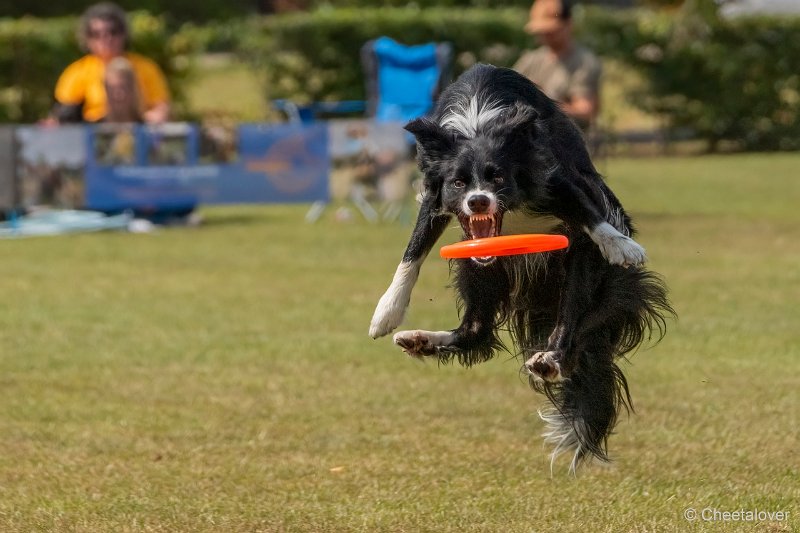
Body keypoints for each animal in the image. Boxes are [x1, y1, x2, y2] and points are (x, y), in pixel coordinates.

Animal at [372, 64, 672, 472]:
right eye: (458, 182)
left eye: (498, 176)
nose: (478, 202)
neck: (477, 125)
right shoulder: (435, 197)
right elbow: (413, 251)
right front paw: (387, 310)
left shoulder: (553, 175)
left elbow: (589, 213)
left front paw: (620, 243)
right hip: (475, 268)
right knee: (477, 329)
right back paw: (420, 339)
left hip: (580, 268)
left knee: (574, 320)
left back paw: (550, 358)